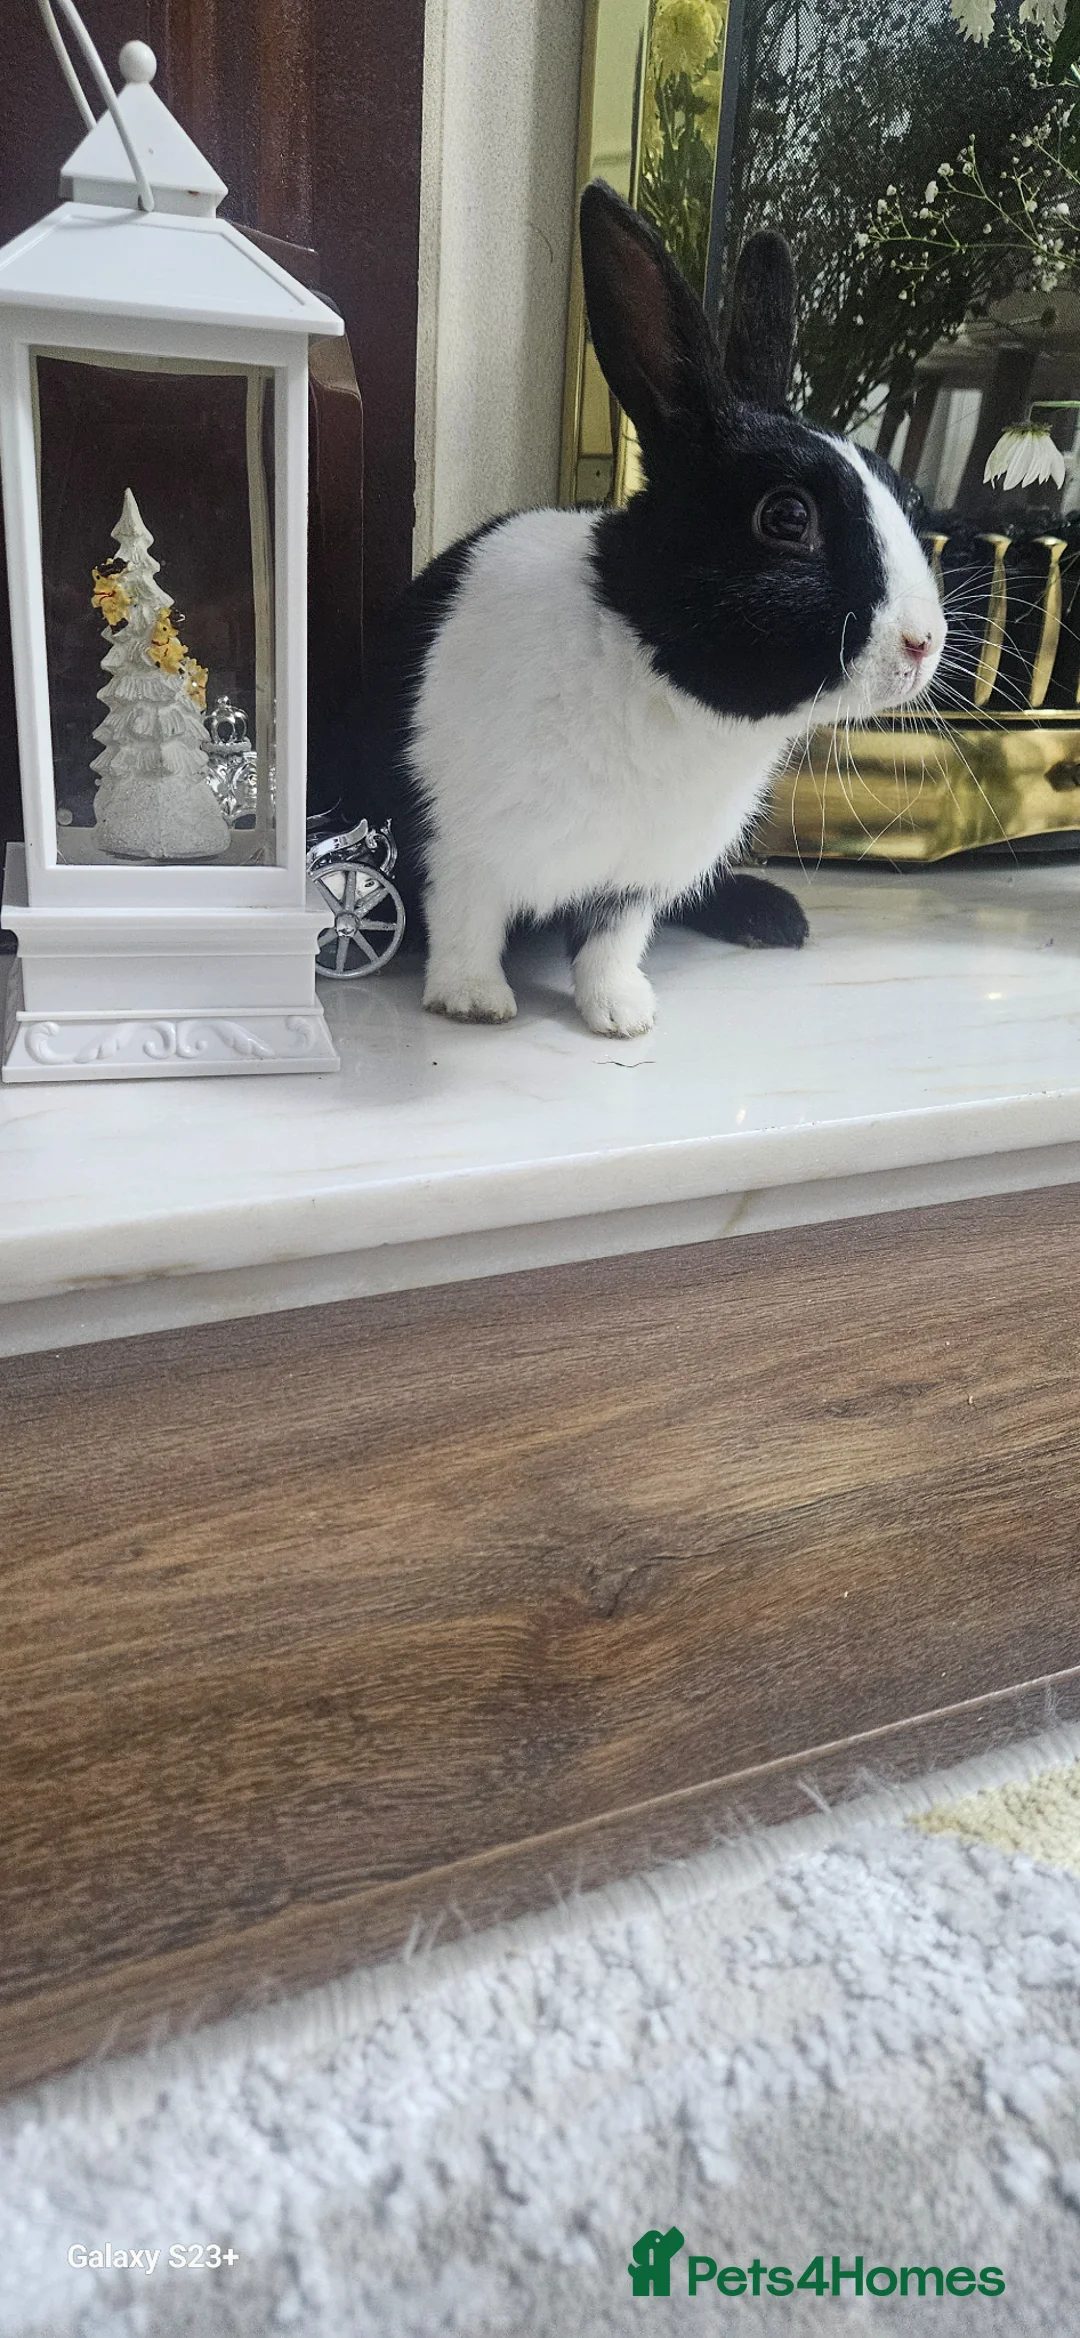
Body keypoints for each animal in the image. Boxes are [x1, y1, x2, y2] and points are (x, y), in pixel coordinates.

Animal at [331, 180, 945, 1038]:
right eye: (787, 517)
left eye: (910, 499)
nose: (925, 643)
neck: (656, 680)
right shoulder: (461, 846)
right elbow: (467, 921)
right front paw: (473, 1003)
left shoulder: (637, 876)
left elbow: (611, 942)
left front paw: (622, 1015)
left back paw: (773, 918)